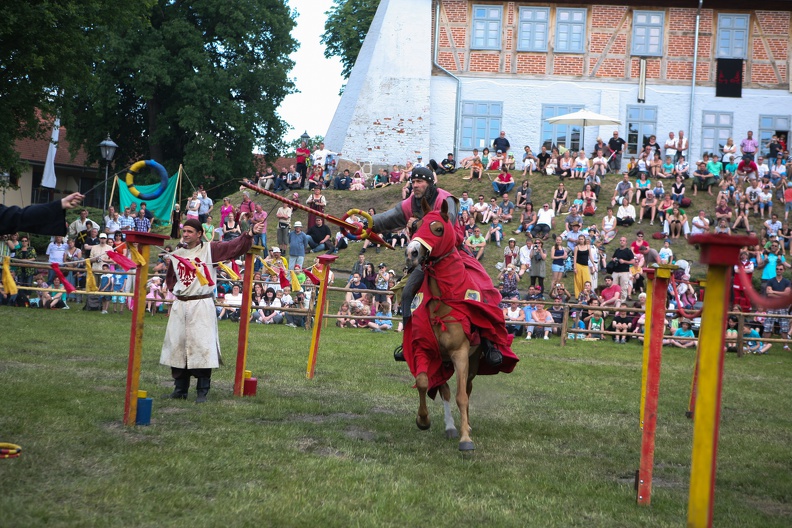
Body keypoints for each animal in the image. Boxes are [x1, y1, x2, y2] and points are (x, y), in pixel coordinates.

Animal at [402, 198, 520, 450]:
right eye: (415, 226)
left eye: (438, 229)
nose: (411, 253)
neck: (443, 301)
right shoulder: (425, 349)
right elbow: (423, 382)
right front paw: (423, 420)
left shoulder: (461, 353)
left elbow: (462, 396)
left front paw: (466, 439)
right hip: (443, 361)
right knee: (444, 389)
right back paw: (450, 427)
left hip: (473, 361)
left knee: (466, 388)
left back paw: (466, 426)